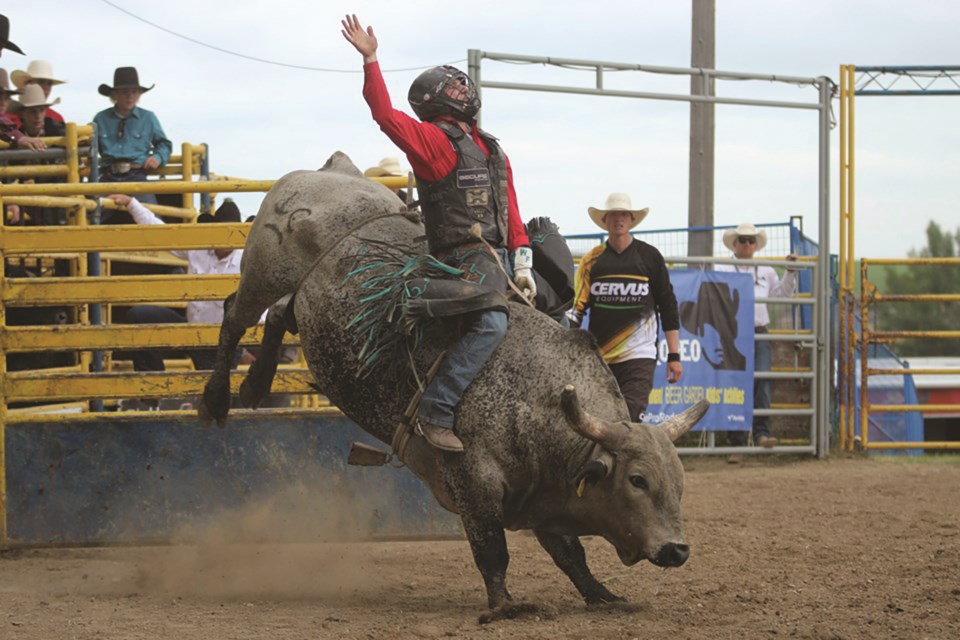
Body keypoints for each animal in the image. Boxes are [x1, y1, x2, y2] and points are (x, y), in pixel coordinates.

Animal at [199, 152, 704, 616]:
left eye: (679, 481)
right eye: (637, 480)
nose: (677, 549)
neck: (534, 400)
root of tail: (329, 171)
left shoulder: (545, 494)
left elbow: (570, 553)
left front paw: (603, 595)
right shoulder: (472, 482)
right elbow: (491, 548)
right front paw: (503, 606)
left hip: (300, 301)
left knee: (278, 316)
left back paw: (255, 385)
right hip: (261, 273)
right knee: (234, 316)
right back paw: (217, 400)